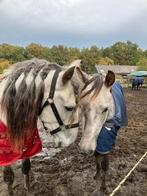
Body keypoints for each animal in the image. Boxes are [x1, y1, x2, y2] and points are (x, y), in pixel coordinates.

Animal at [0, 58, 84, 194]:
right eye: (69, 108)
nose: (71, 141)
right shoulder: (5, 152)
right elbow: (8, 177)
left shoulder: (27, 142)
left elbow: (26, 167)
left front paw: (28, 190)